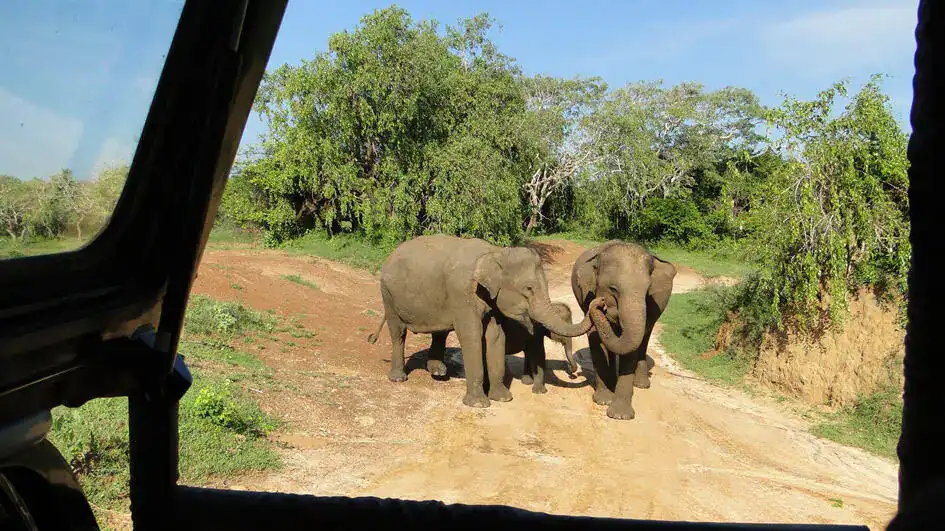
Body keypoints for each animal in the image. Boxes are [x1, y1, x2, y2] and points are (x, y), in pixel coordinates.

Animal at [367, 234, 602, 408]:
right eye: (528, 288)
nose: (599, 301)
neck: (495, 253)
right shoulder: (462, 293)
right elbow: (471, 336)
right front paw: (479, 404)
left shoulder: (491, 301)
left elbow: (495, 337)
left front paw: (503, 398)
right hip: (388, 295)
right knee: (398, 333)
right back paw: (399, 378)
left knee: (440, 332)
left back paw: (438, 372)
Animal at [571, 240, 676, 420]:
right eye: (613, 289)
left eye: (648, 290)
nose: (600, 303)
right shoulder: (587, 296)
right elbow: (595, 339)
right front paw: (603, 400)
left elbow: (631, 350)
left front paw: (620, 415)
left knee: (644, 338)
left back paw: (641, 385)